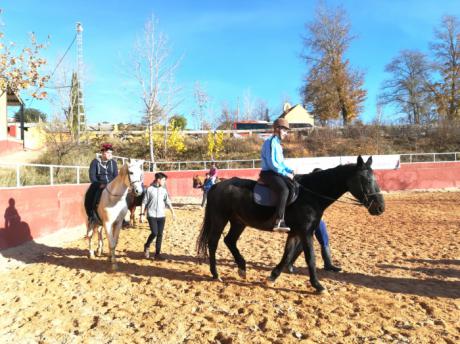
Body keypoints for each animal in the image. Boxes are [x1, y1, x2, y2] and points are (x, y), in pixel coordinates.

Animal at [197, 156, 384, 292]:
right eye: (366, 180)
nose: (380, 208)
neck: (311, 195)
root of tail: (216, 186)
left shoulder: (295, 232)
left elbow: (287, 255)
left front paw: (272, 277)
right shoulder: (305, 232)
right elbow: (310, 258)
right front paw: (318, 286)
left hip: (239, 221)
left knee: (229, 240)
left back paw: (242, 268)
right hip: (220, 218)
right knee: (213, 243)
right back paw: (216, 274)